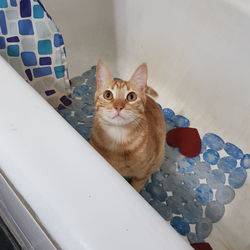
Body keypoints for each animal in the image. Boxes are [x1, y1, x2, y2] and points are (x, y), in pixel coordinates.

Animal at [90, 59, 166, 191]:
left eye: (131, 97)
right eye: (107, 95)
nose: (118, 107)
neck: (117, 138)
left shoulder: (142, 175)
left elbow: (136, 187)